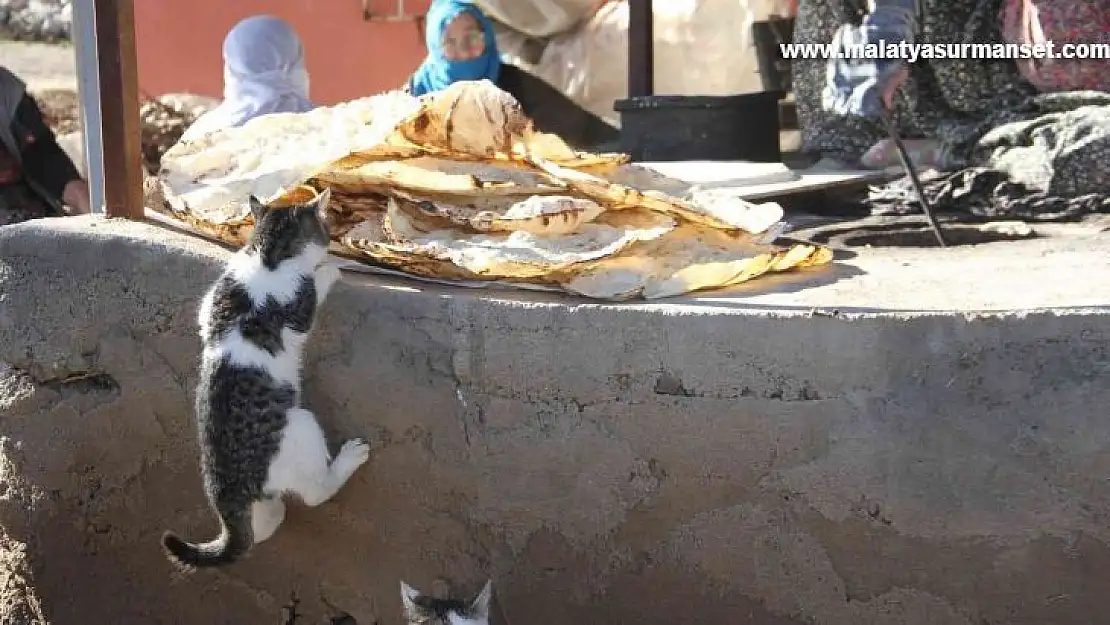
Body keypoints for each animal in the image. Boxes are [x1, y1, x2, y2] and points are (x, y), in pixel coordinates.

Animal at [160, 188, 370, 568]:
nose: (333, 239)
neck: (267, 254)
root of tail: (226, 491)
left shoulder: (209, 307)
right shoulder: (300, 306)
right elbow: (314, 283)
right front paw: (330, 267)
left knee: (258, 531)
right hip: (301, 428)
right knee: (315, 493)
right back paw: (348, 458)